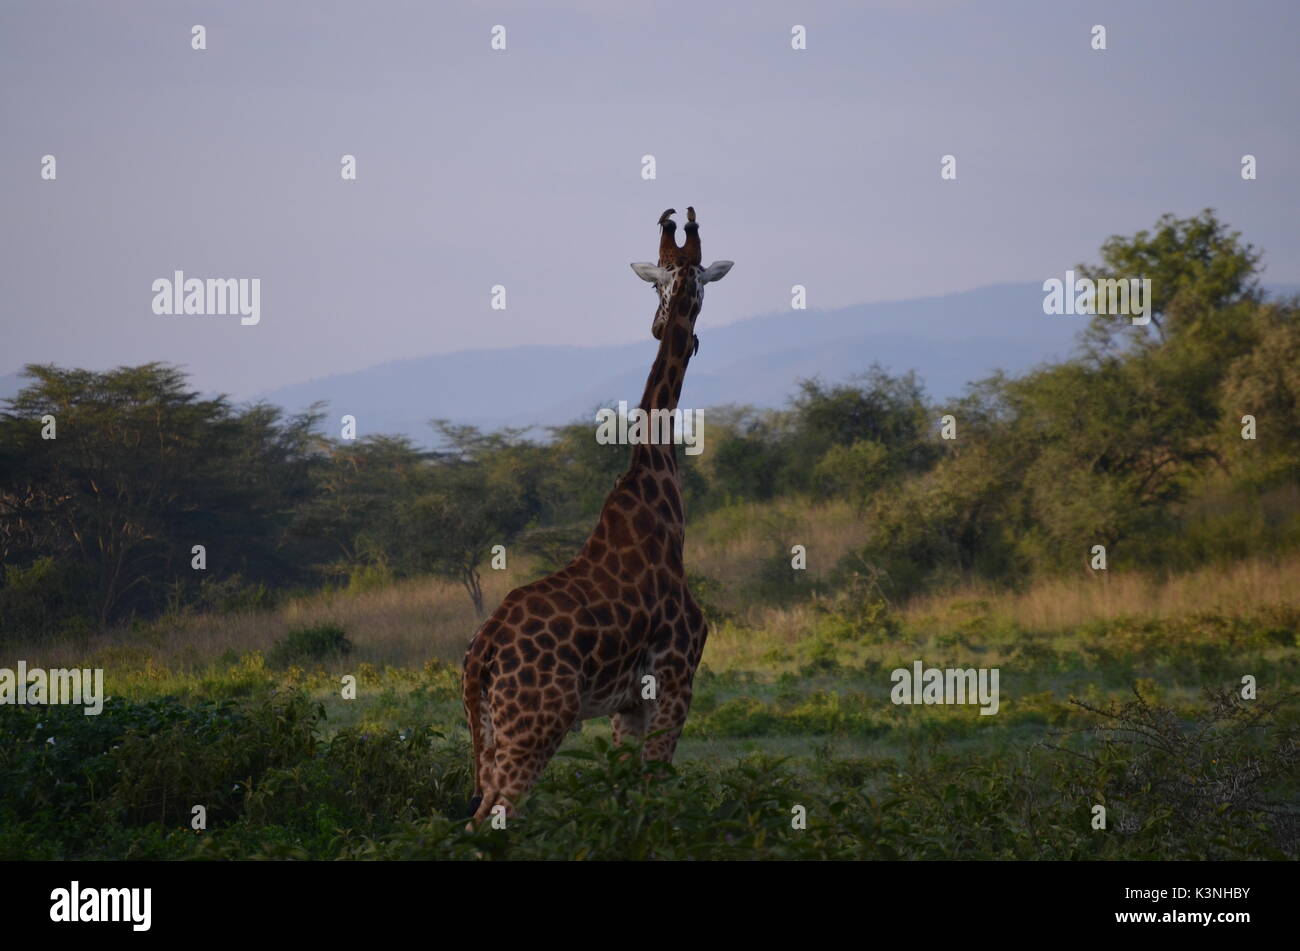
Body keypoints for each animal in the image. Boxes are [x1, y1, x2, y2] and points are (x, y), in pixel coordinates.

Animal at [465, 203, 733, 821]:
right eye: (659, 285)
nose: (664, 327)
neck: (657, 486)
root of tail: (481, 655)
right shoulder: (676, 679)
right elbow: (654, 788)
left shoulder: (625, 705)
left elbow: (624, 795)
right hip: (536, 724)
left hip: (488, 732)